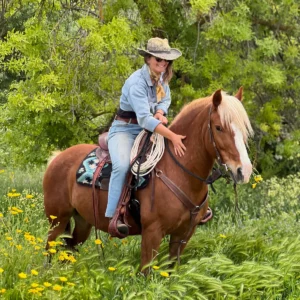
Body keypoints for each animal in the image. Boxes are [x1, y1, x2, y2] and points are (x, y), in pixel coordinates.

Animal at [42, 88, 253, 268]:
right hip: (57, 221)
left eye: (244, 128)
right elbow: (146, 273)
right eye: (218, 128)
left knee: (68, 250)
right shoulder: (152, 232)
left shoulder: (183, 234)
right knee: (49, 251)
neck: (179, 171)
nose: (244, 171)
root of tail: (57, 158)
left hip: (82, 221)